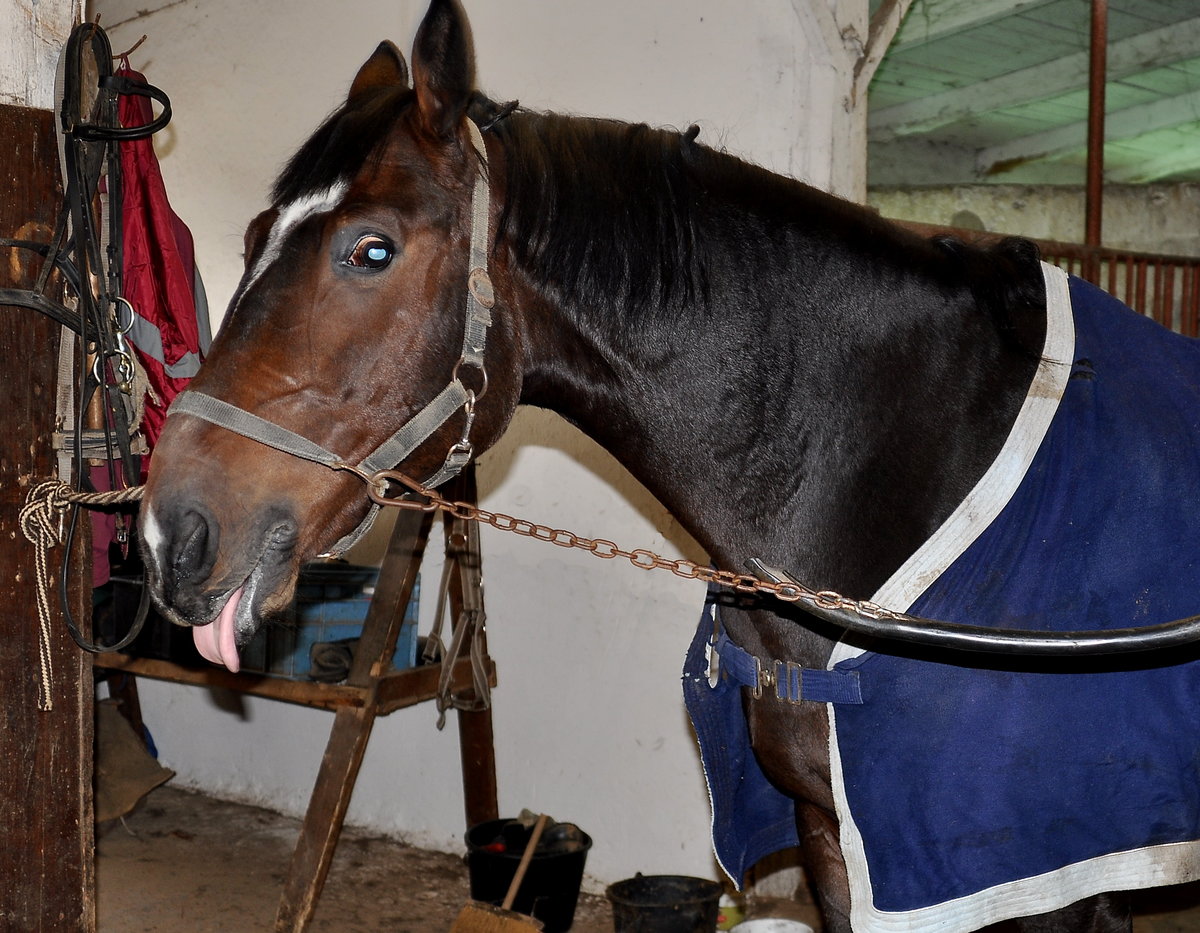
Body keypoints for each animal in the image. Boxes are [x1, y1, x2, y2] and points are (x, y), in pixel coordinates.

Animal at [138, 2, 1200, 930]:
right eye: (251, 240)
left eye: (371, 249)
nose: (170, 532)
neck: (895, 459)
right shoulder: (834, 840)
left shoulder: (1051, 880)